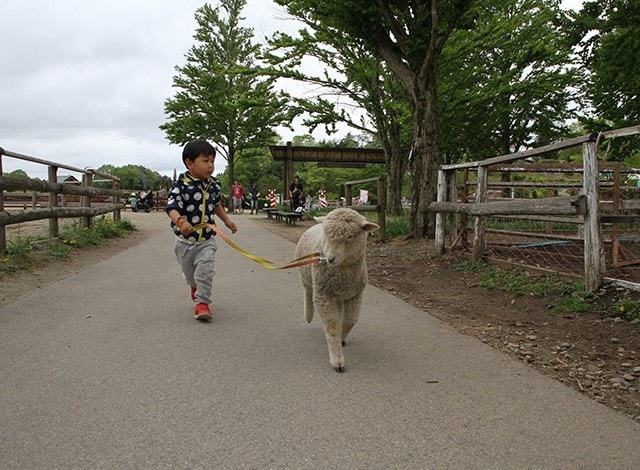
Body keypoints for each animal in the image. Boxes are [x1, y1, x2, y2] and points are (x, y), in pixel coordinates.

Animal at [296, 207, 380, 372]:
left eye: (350, 236)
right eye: (327, 236)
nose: (330, 259)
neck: (342, 271)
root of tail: (316, 224)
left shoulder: (355, 295)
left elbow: (350, 321)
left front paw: (341, 339)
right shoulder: (323, 295)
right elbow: (332, 326)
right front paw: (337, 360)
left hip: (340, 293)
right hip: (307, 276)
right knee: (308, 292)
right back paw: (308, 315)